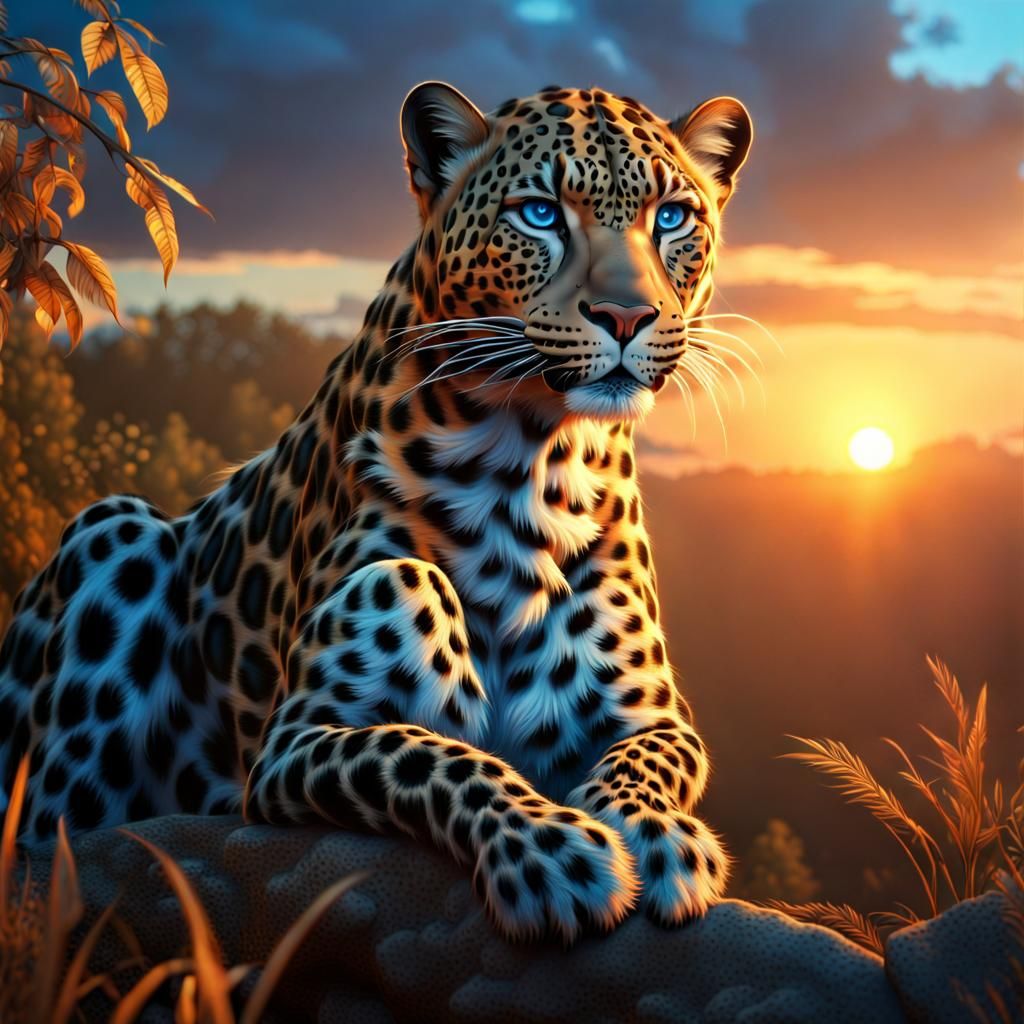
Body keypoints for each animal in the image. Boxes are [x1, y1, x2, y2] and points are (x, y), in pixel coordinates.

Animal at [0, 81, 753, 941]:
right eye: (539, 213)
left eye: (673, 218)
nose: (627, 319)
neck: (533, 458)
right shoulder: (295, 741)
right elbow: (427, 750)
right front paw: (550, 851)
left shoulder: (657, 715)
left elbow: (647, 762)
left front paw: (658, 836)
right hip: (112, 538)